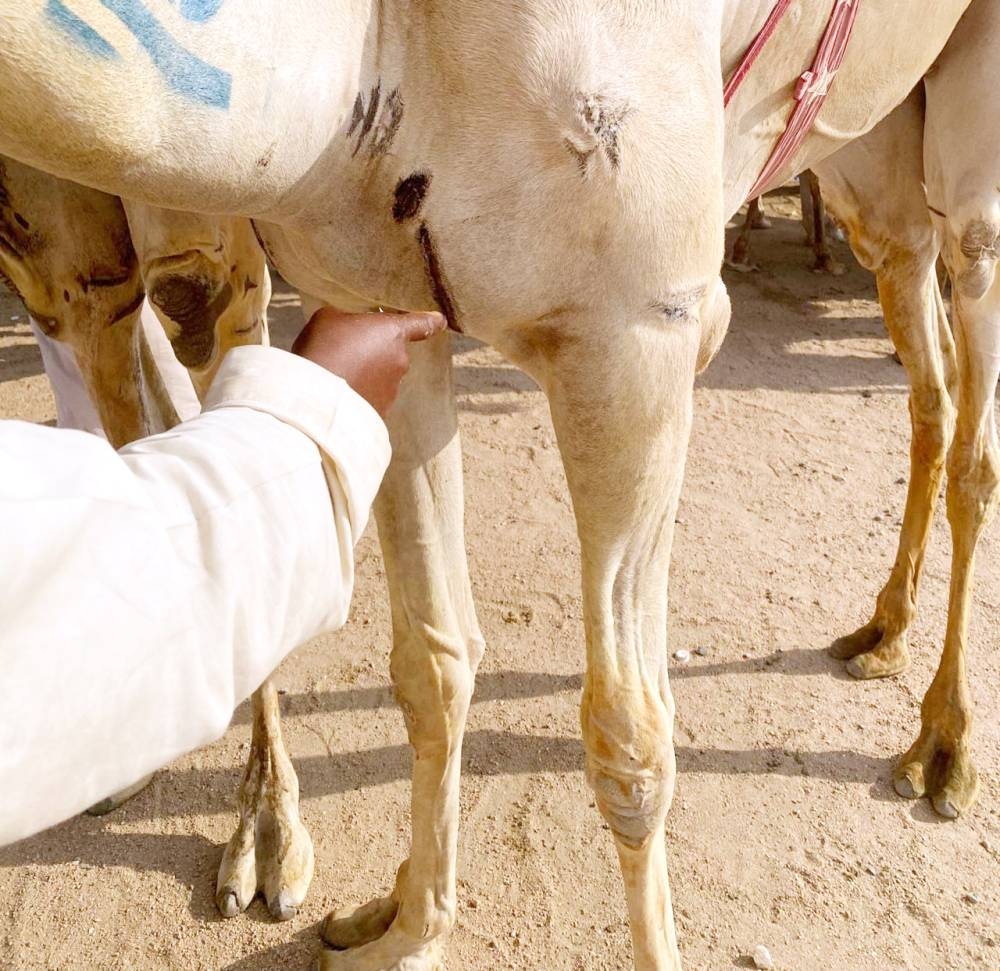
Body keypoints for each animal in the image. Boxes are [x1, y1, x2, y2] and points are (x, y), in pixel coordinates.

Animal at [0, 2, 996, 969]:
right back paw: (880, 632)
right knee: (925, 352)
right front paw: (404, 928)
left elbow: (630, 736)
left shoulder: (638, 330)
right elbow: (431, 658)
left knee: (972, 371)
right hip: (872, 157)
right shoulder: (379, 293)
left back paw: (942, 748)